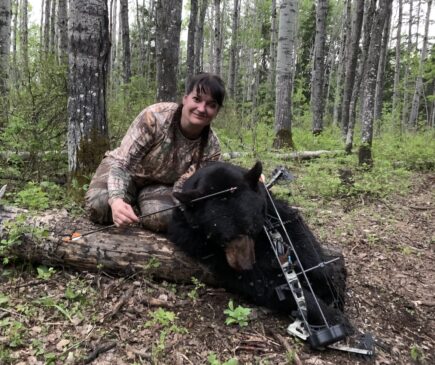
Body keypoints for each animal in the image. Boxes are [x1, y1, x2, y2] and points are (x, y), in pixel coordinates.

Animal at [169, 161, 352, 334]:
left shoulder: (269, 206)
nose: (245, 265)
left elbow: (298, 233)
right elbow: (263, 282)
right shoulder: (198, 241)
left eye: (252, 229)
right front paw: (330, 315)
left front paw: (331, 288)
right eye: (224, 237)